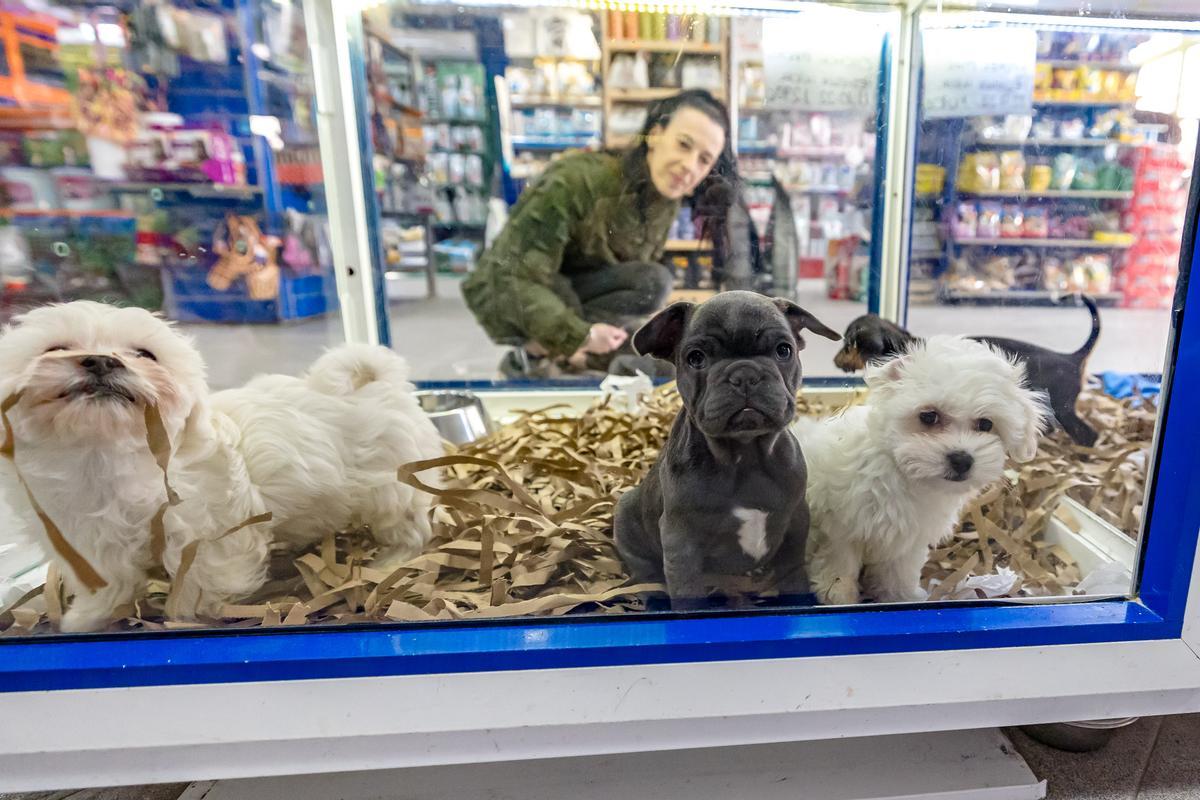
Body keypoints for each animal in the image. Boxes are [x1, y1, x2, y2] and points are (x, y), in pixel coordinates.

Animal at [0, 299, 444, 633]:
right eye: (54, 349)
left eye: (144, 354)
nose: (101, 361)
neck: (103, 453)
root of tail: (378, 381)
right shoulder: (85, 540)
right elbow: (107, 583)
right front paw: (86, 619)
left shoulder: (208, 531)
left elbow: (204, 578)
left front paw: (189, 617)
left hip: (393, 485)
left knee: (409, 526)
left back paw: (390, 561)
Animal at [614, 291, 840, 609]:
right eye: (696, 358)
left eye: (784, 350)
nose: (744, 374)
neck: (746, 455)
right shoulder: (681, 542)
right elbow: (688, 593)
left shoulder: (796, 523)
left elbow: (793, 572)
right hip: (626, 518)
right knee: (644, 571)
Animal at [792, 335, 1046, 604]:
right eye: (928, 416)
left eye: (986, 424)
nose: (961, 460)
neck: (906, 476)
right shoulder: (841, 529)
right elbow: (840, 564)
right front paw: (839, 596)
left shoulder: (908, 541)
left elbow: (899, 572)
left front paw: (902, 596)